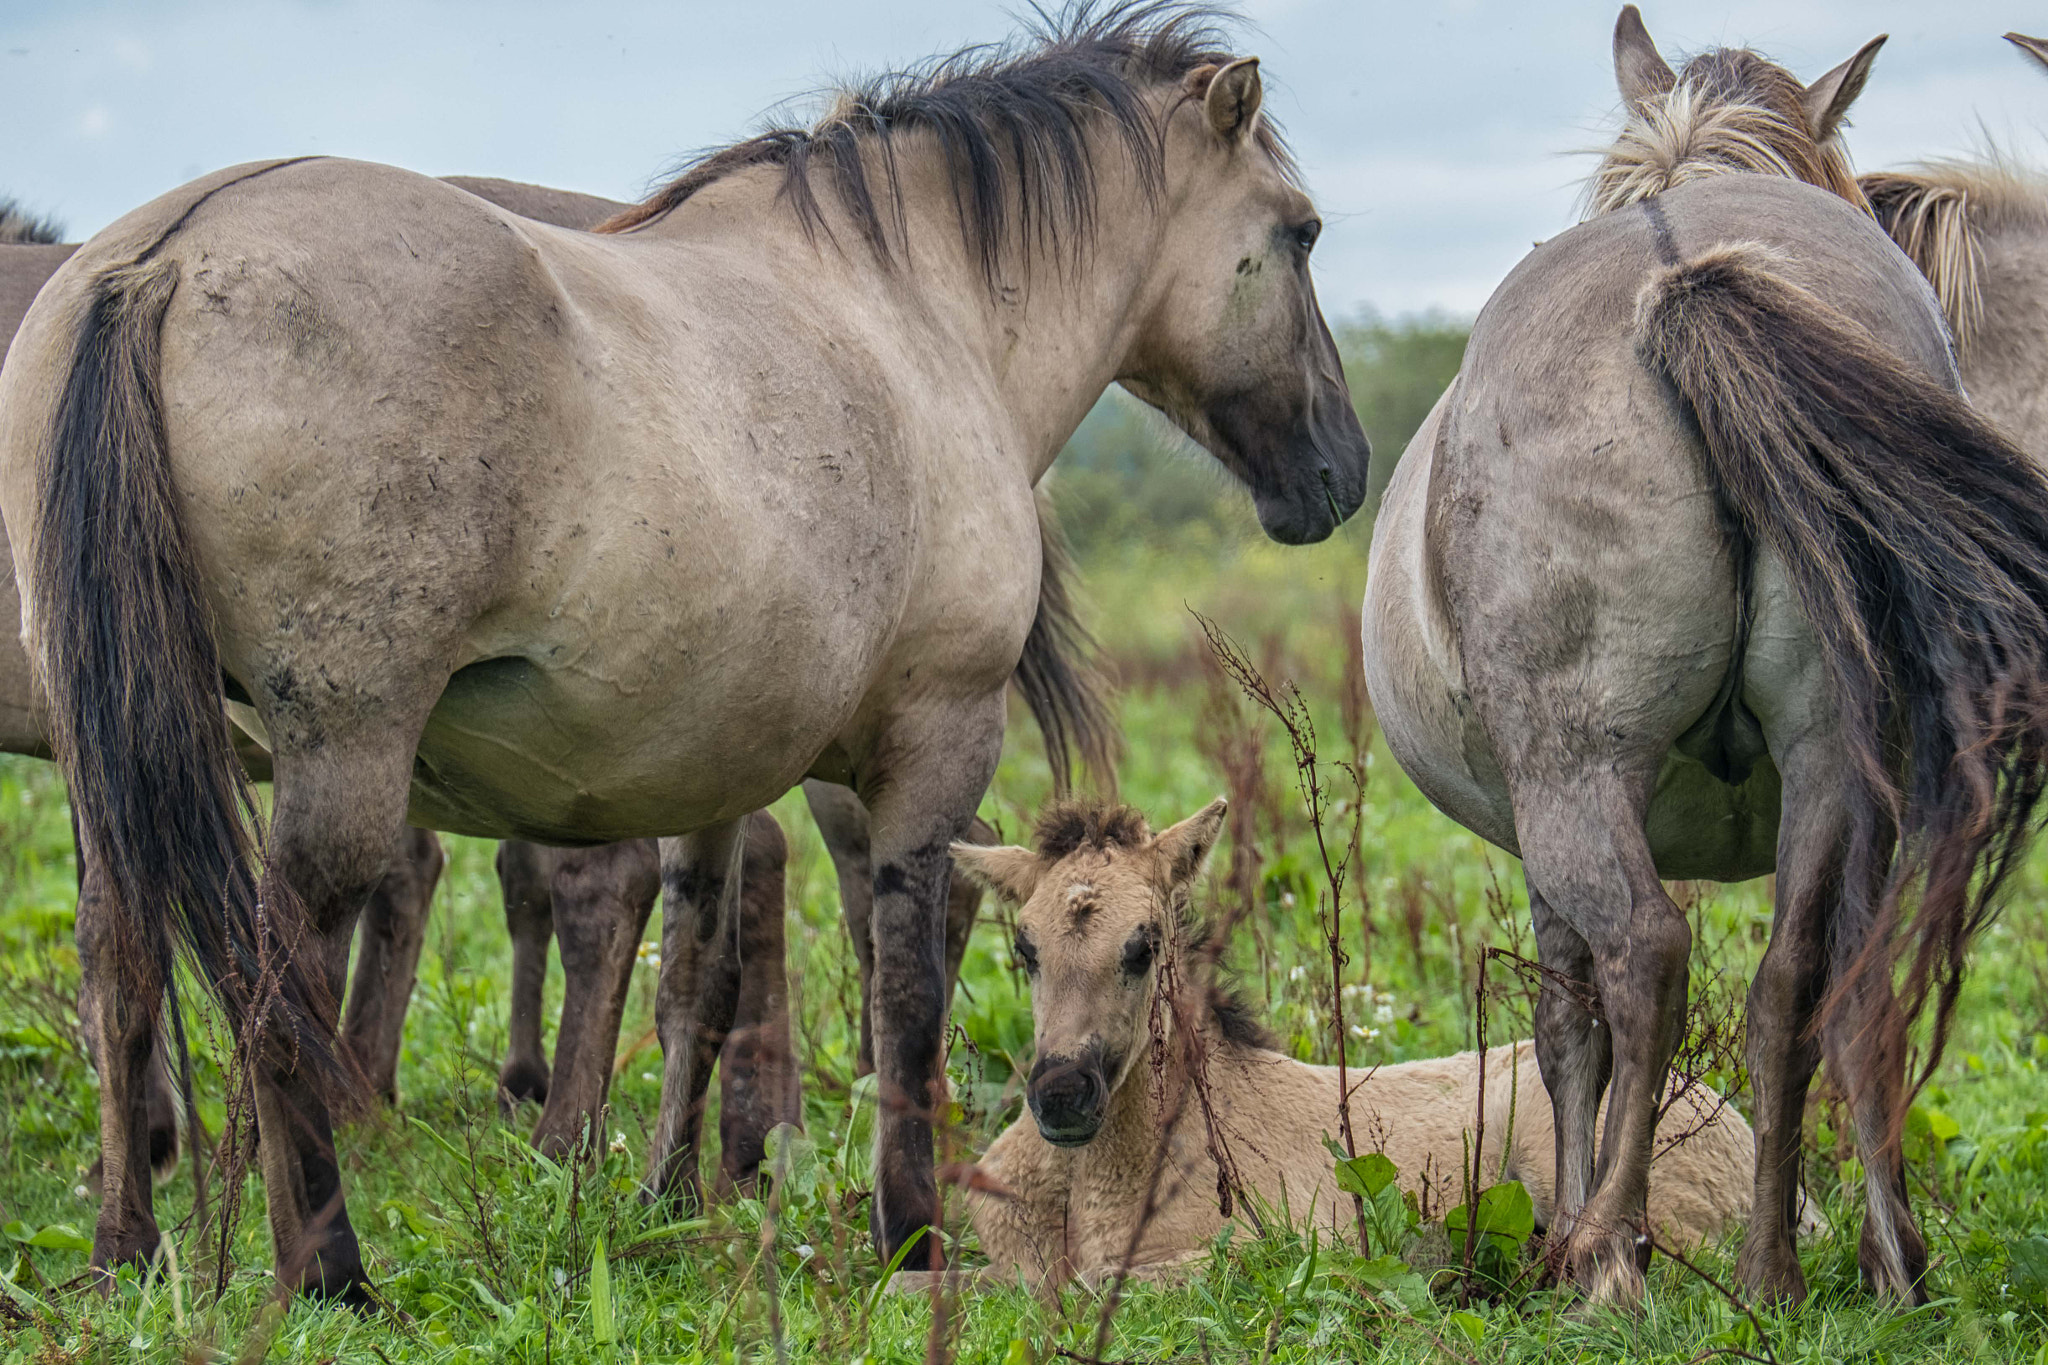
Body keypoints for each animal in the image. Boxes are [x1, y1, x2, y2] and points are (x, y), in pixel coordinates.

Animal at [4, 0, 1376, 1301]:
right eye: (1301, 231)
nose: (1340, 471)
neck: (910, 315)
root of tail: (163, 256)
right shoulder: (933, 744)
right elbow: (908, 988)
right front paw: (909, 1230)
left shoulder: (711, 773)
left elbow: (696, 985)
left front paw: (667, 1196)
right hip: (341, 762)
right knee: (272, 967)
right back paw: (328, 1271)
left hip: (122, 756)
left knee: (121, 954)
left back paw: (128, 1250)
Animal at [946, 794, 1777, 1285]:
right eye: (1023, 947)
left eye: (1143, 945)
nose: (1062, 1096)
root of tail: (1733, 1124)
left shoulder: (1268, 1246)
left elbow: (1095, 1283)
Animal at [1359, 10, 2048, 1309]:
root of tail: (1678, 275)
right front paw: (1884, 1244)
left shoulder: (1536, 826)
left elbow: (1565, 1025)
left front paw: (1573, 1225)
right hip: (1832, 748)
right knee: (1801, 977)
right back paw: (1785, 1269)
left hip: (1577, 774)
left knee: (1646, 958)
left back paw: (1608, 1256)